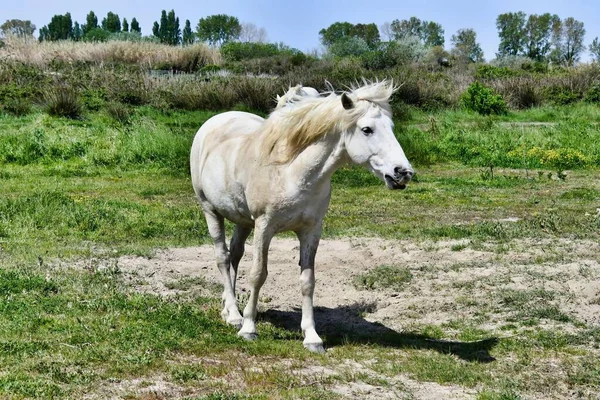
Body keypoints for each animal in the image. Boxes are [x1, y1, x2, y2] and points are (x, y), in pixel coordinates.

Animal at [191, 79, 412, 352]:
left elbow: (307, 281)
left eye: (390, 127)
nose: (403, 172)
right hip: (210, 211)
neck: (292, 172)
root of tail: (216, 120)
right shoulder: (264, 227)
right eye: (367, 129)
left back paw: (227, 307)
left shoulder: (311, 230)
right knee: (222, 258)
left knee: (234, 256)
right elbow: (258, 274)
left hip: (243, 221)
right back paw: (233, 314)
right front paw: (249, 328)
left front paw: (312, 337)